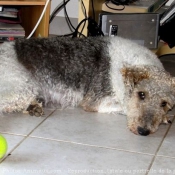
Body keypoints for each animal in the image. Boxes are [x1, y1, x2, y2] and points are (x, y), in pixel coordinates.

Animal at [0, 36, 175, 135]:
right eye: (141, 94)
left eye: (164, 103)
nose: (143, 131)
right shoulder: (95, 101)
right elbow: (124, 107)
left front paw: (165, 117)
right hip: (20, 87)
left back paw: (34, 107)